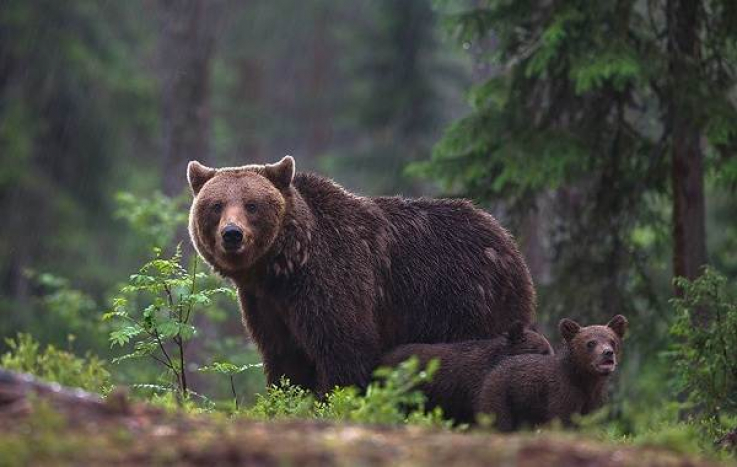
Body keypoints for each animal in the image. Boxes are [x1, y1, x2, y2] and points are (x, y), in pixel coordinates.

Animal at [187, 157, 532, 394]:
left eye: (252, 205)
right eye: (216, 205)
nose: (232, 234)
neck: (283, 266)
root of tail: (507, 240)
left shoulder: (334, 279)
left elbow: (345, 349)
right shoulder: (267, 305)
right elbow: (285, 359)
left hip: (466, 300)